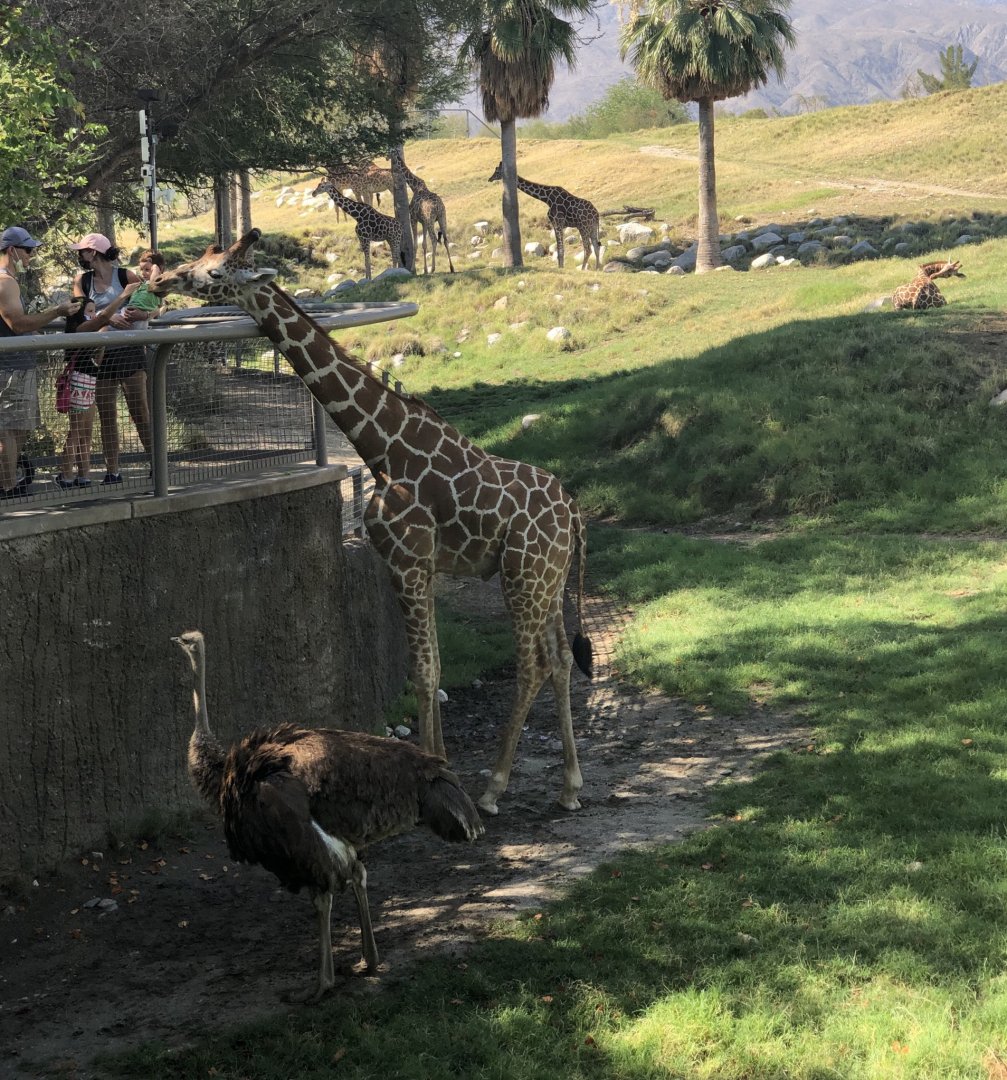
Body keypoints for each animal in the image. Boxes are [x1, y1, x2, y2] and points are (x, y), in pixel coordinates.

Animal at [149, 230, 593, 816]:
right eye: (202, 259)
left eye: (215, 271)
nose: (159, 278)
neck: (382, 447)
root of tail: (574, 513)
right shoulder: (419, 567)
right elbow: (432, 668)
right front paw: (440, 766)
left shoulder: (407, 562)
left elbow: (425, 674)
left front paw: (437, 777)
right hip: (546, 577)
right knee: (561, 659)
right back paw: (570, 786)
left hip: (523, 575)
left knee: (533, 665)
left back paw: (495, 788)